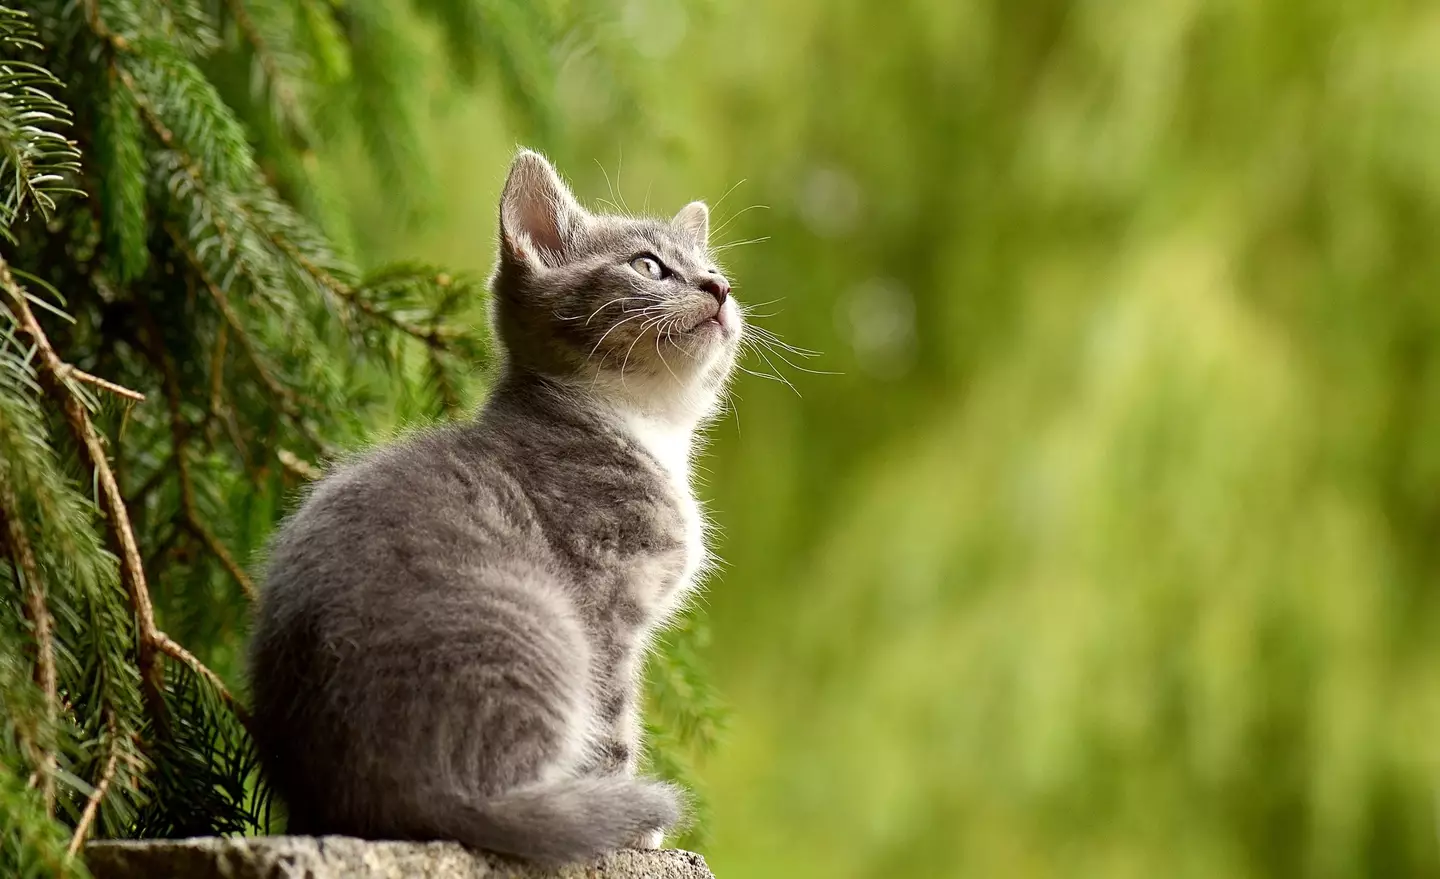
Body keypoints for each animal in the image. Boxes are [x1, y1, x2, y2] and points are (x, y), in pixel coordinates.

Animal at [244, 150, 743, 864]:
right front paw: (631, 828)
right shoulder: (606, 605)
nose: (719, 288)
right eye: (648, 266)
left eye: (714, 269)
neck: (642, 425)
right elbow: (614, 722)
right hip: (543, 627)